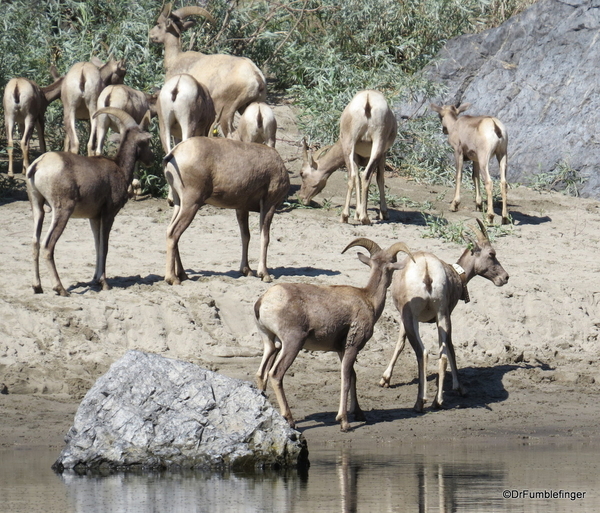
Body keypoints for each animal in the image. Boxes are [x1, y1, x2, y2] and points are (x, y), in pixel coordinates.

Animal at [149, 2, 266, 138]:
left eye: (158, 25)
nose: (151, 35)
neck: (175, 59)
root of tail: (257, 78)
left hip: (226, 110)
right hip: (251, 106)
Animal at [162, 136, 288, 286]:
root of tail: (173, 154)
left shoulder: (241, 208)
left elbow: (245, 236)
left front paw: (246, 270)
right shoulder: (269, 204)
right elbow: (265, 237)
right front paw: (265, 275)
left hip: (178, 203)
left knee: (171, 231)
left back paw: (183, 275)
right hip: (191, 204)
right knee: (173, 233)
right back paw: (172, 278)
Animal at [253, 238, 412, 430]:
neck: (369, 299)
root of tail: (263, 301)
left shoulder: (341, 350)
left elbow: (353, 377)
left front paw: (359, 413)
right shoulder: (352, 346)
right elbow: (345, 378)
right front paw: (344, 421)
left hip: (271, 344)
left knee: (261, 374)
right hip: (292, 344)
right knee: (275, 374)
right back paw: (290, 420)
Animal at [296, 89, 398, 224]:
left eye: (302, 173)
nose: (301, 198)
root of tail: (367, 100)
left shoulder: (367, 154)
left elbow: (363, 178)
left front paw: (362, 214)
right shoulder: (379, 154)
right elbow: (376, 178)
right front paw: (376, 213)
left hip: (353, 145)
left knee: (354, 175)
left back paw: (347, 216)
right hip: (375, 144)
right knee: (364, 175)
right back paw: (362, 218)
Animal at [378, 218, 508, 410]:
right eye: (492, 253)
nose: (505, 277)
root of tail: (426, 269)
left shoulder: (406, 317)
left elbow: (401, 342)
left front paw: (385, 379)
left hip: (417, 319)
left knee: (424, 352)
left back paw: (421, 401)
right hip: (441, 317)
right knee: (443, 354)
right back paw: (437, 401)